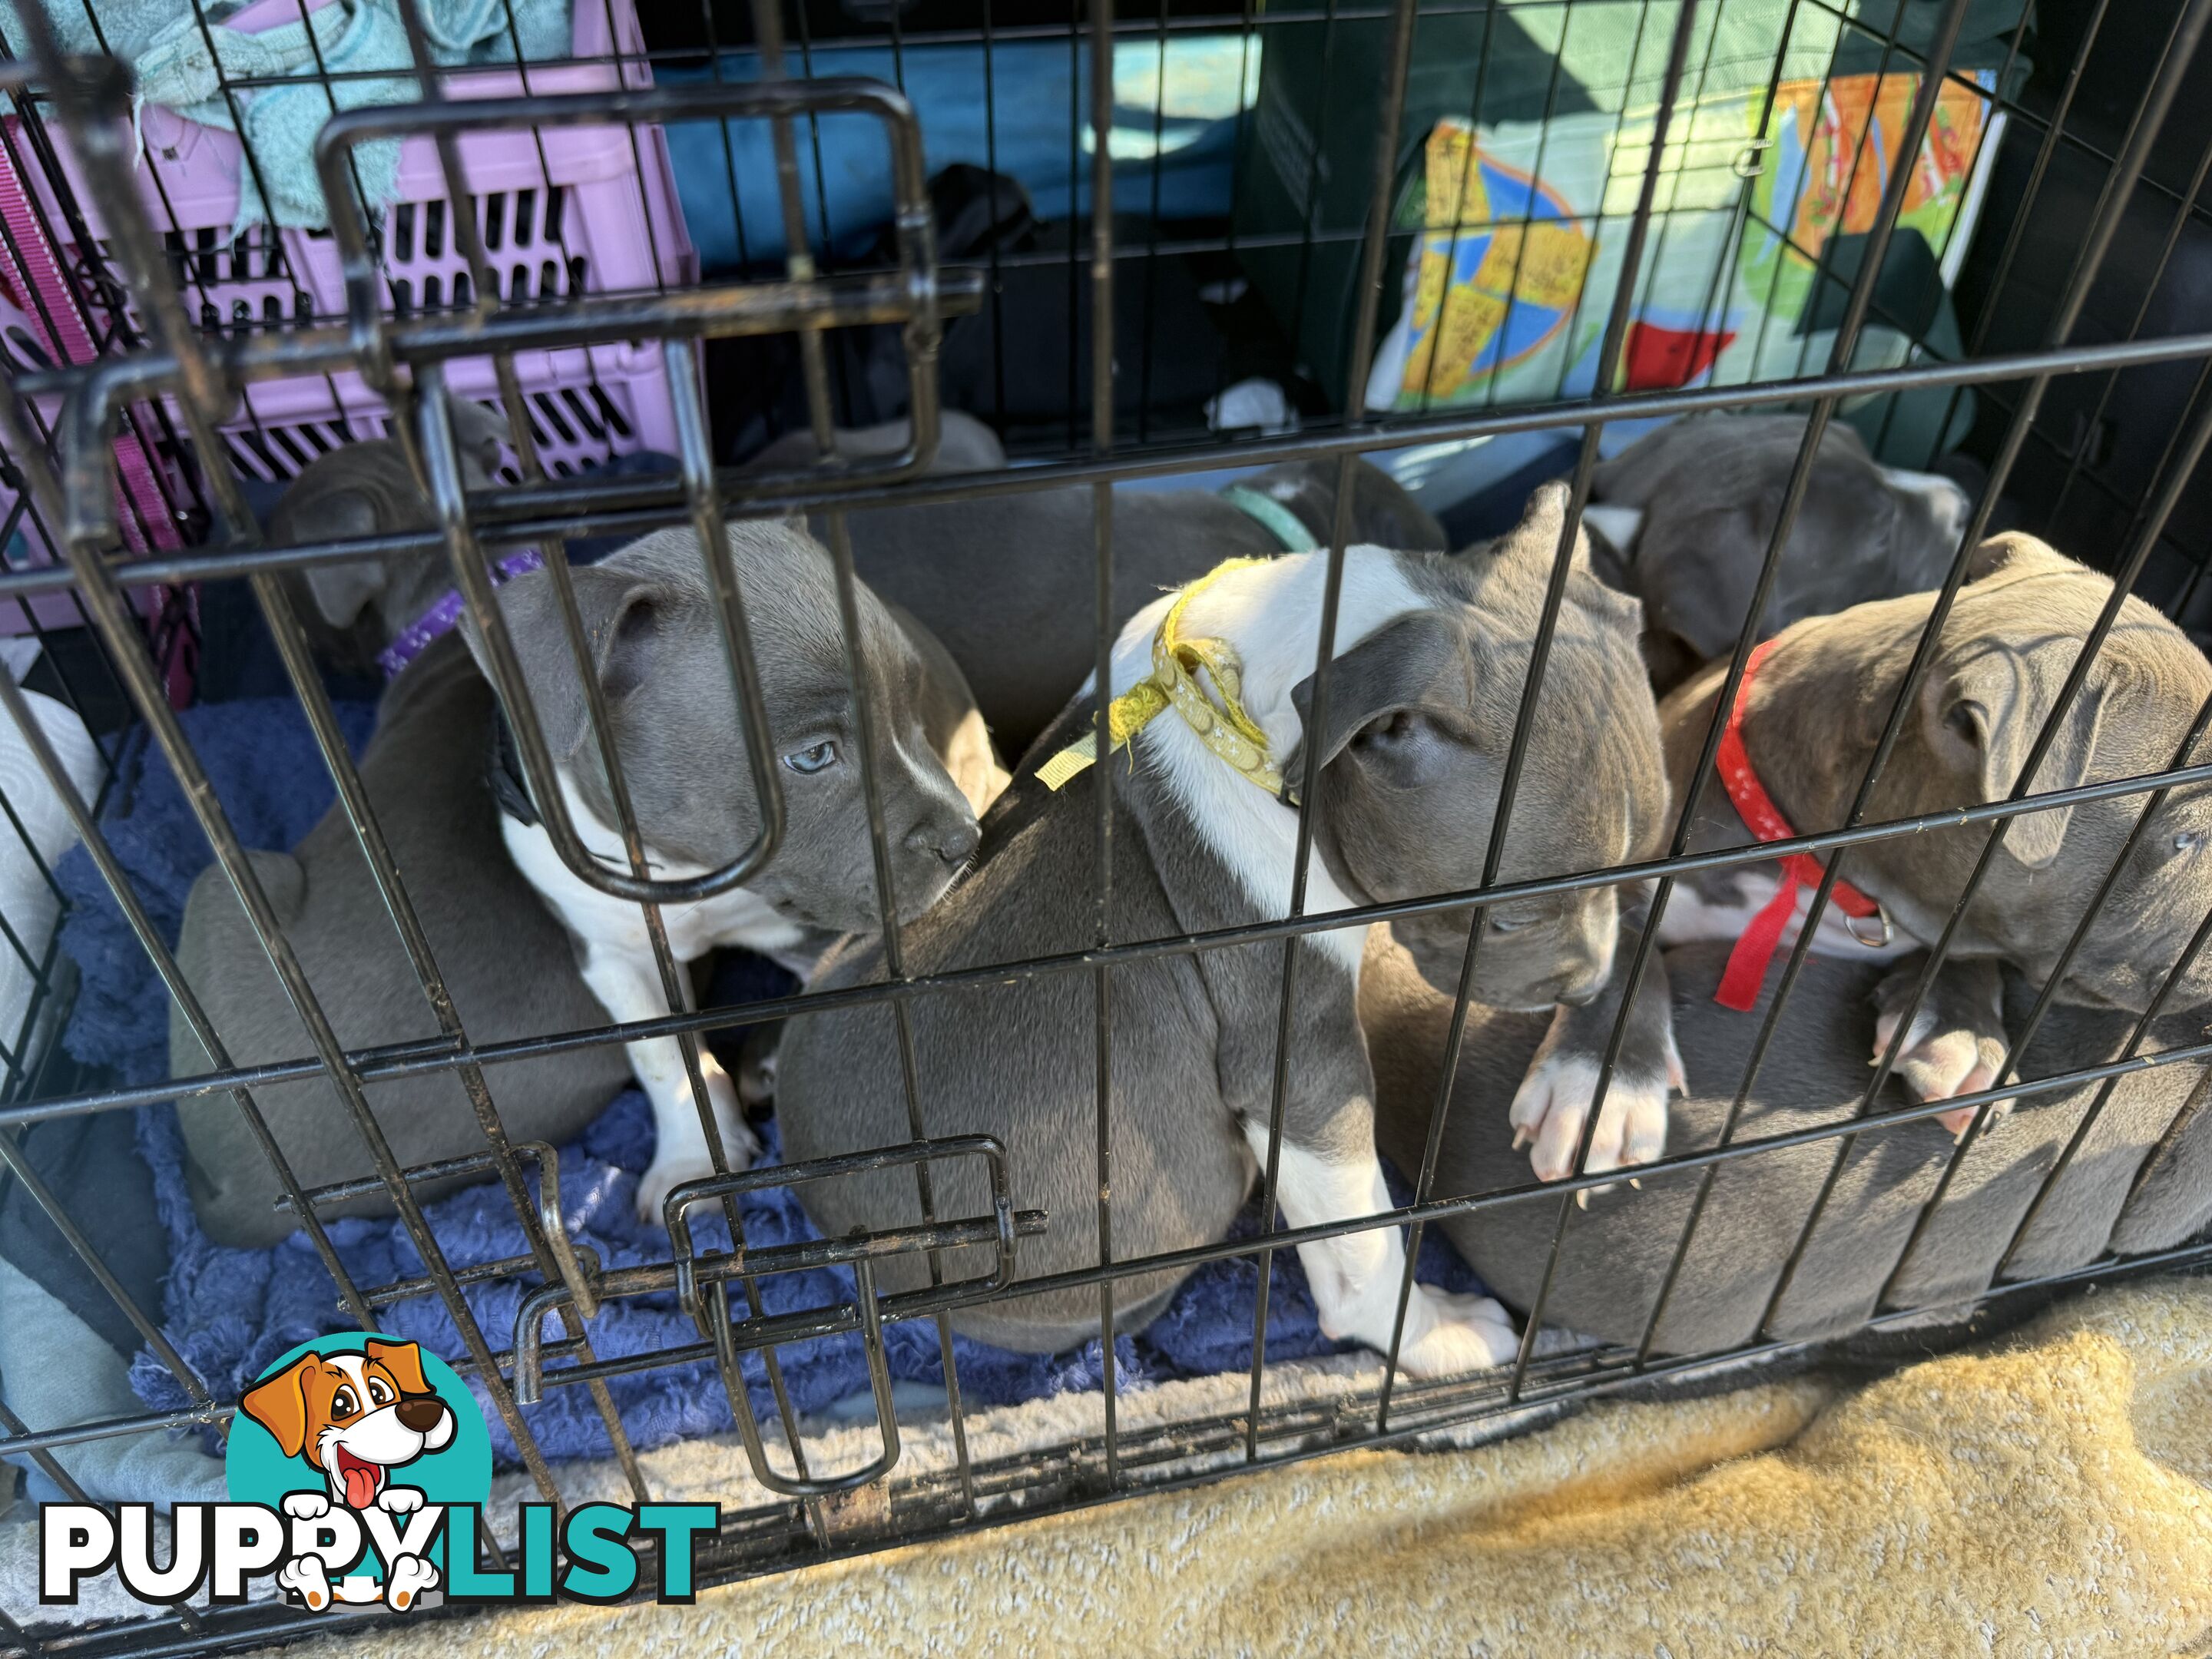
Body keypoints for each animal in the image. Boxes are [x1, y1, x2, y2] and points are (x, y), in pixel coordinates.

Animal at [174, 526, 995, 1238]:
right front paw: (695, 1159)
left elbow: (834, 986)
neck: (681, 874)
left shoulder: (825, 925)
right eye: (814, 756)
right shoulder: (610, 957)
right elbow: (662, 1056)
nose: (966, 839)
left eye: (913, 710)